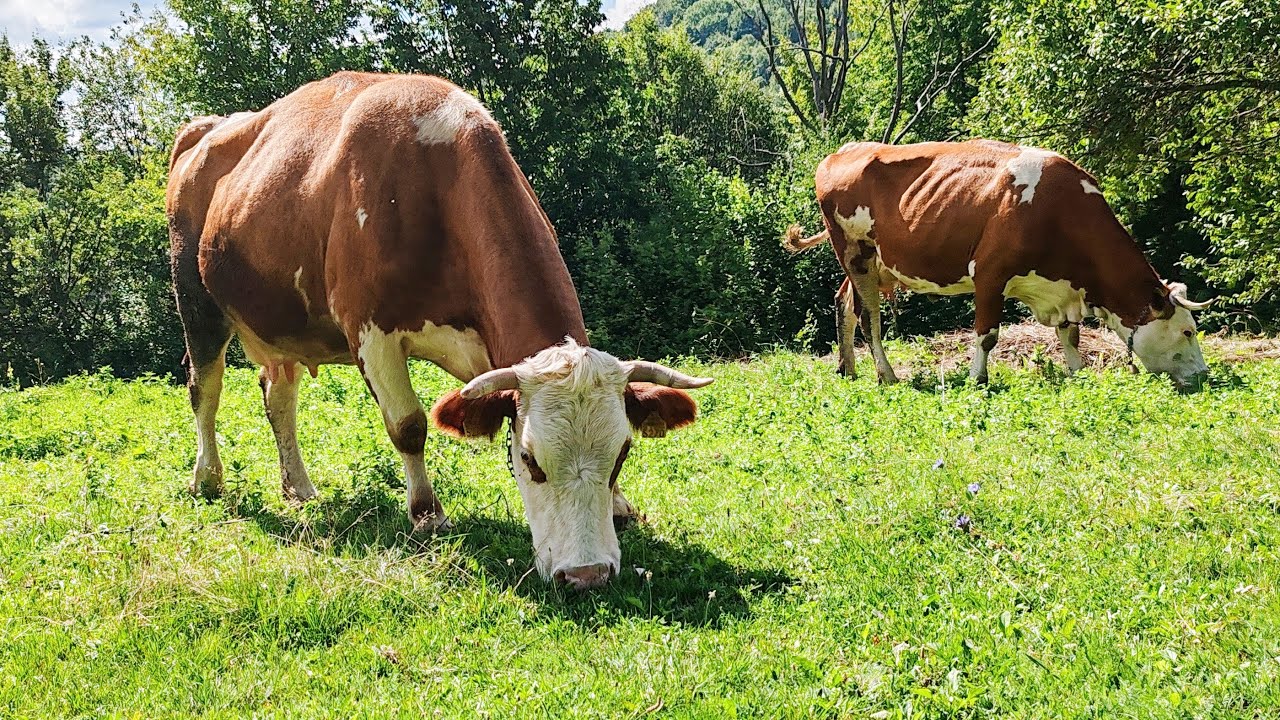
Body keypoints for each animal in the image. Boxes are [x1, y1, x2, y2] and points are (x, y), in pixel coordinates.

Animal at [166, 71, 713, 590]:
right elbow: (408, 425)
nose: (587, 574)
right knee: (205, 389)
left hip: (281, 329)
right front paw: (427, 515)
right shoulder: (370, 333)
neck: (433, 181)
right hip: (196, 302)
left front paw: (619, 504)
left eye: (623, 453)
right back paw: (208, 478)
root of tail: (204, 128)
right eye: (529, 458)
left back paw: (298, 489)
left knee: (278, 397)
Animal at [785, 140, 1212, 388]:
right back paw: (886, 375)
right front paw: (978, 379)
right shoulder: (990, 274)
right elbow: (987, 334)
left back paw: (848, 368)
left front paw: (1078, 372)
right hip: (855, 252)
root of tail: (843, 150)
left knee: (843, 303)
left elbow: (1070, 334)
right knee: (868, 316)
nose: (1203, 374)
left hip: (872, 264)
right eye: (1187, 331)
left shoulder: (1062, 288)